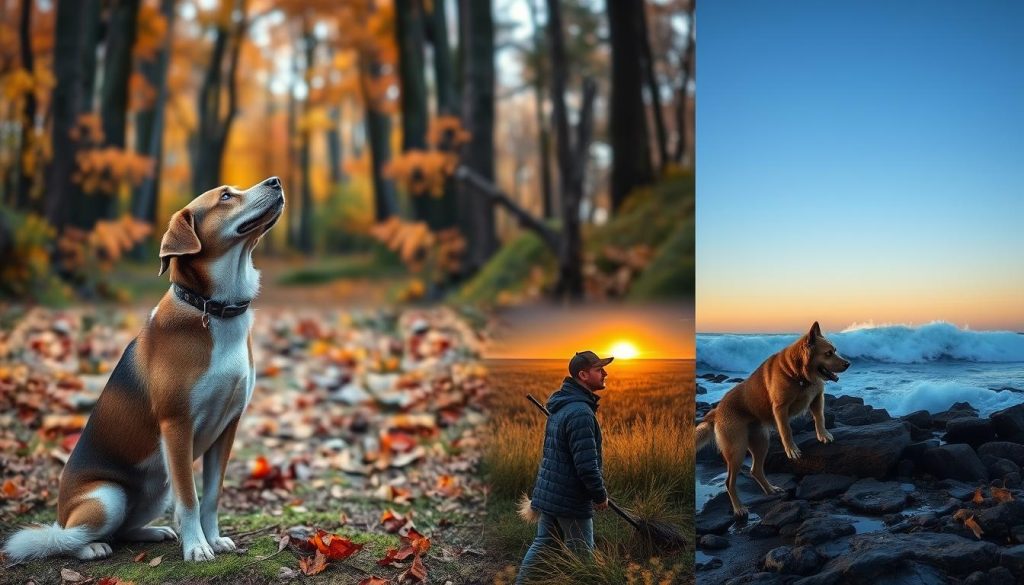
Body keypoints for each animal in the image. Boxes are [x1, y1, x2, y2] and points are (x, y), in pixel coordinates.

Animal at [3, 177, 284, 561]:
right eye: (226, 196)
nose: (276, 182)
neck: (213, 309)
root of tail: (63, 513)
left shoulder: (229, 425)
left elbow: (211, 496)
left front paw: (213, 539)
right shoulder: (177, 425)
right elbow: (190, 499)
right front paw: (197, 548)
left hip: (157, 489)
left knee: (124, 530)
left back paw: (153, 532)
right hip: (107, 498)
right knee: (68, 539)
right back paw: (91, 548)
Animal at [696, 323, 847, 520]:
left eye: (835, 350)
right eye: (828, 353)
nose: (848, 364)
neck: (798, 374)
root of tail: (716, 411)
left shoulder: (817, 398)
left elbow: (819, 418)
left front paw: (823, 435)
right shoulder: (780, 409)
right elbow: (786, 430)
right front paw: (791, 449)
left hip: (761, 441)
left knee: (755, 470)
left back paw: (770, 490)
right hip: (737, 450)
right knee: (729, 482)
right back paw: (739, 508)